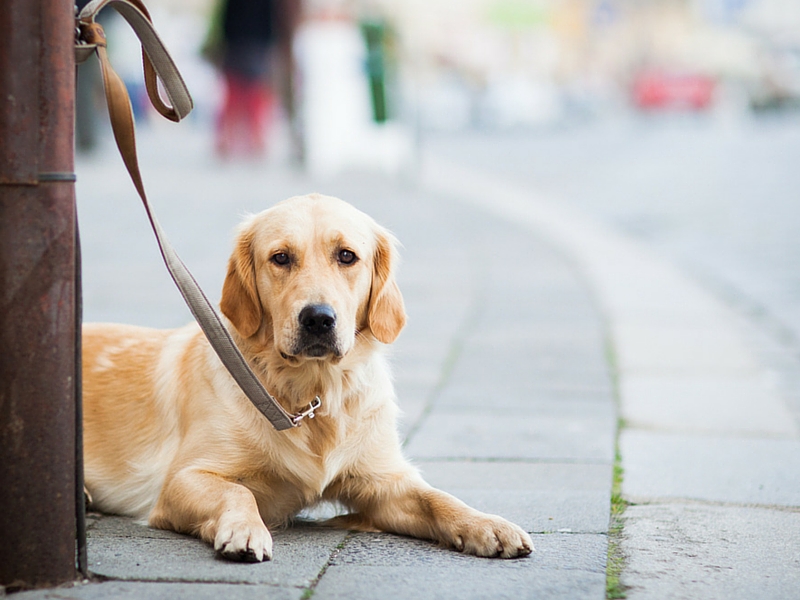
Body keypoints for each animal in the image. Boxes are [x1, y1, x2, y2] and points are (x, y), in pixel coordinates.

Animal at [81, 193, 536, 564]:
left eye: (347, 256)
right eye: (281, 257)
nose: (318, 318)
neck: (314, 394)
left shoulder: (385, 482)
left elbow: (436, 497)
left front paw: (486, 524)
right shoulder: (182, 480)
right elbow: (238, 490)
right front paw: (246, 529)